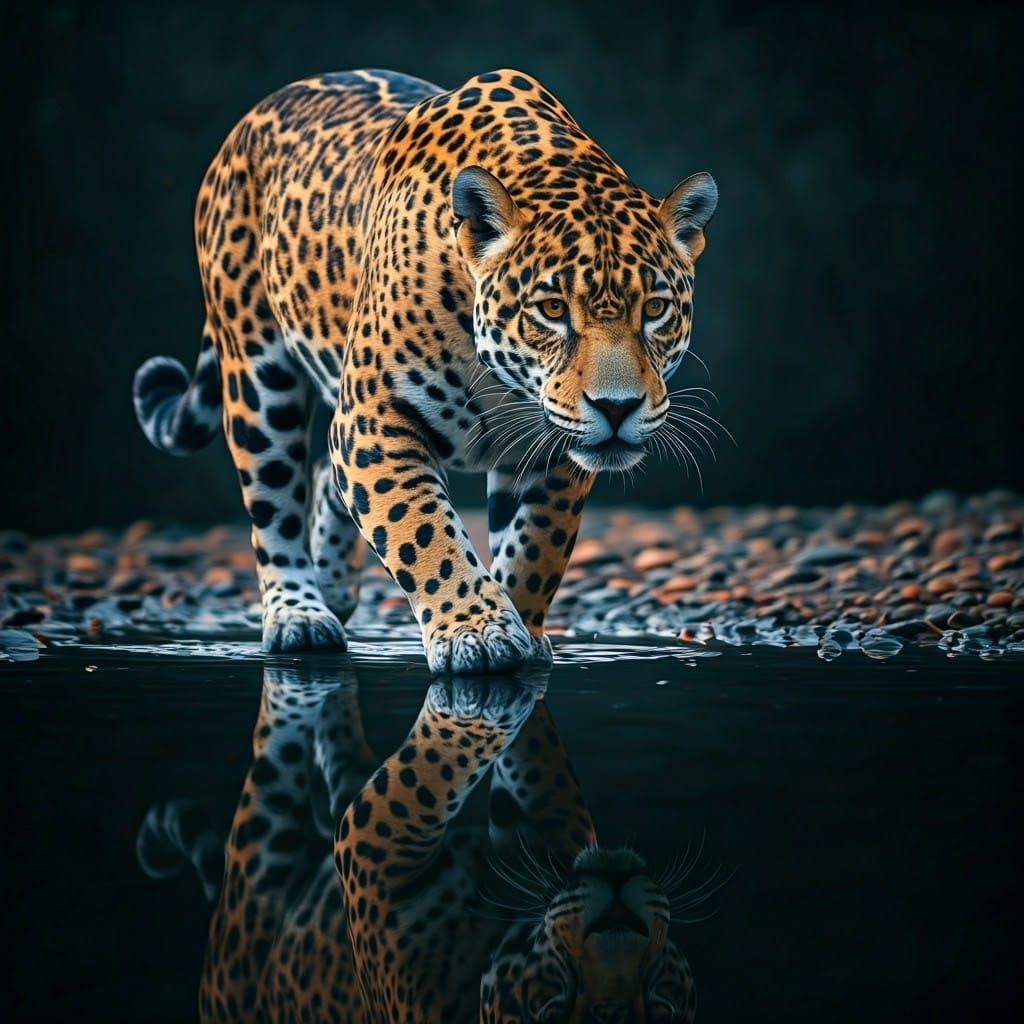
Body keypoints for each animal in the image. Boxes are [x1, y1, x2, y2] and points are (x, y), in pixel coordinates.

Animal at [132, 68, 719, 672]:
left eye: (655, 309)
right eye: (553, 309)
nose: (617, 408)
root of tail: (255, 117)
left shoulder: (552, 453)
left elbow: (537, 545)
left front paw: (520, 626)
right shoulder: (374, 423)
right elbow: (421, 529)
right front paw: (476, 631)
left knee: (325, 477)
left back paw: (335, 585)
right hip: (257, 376)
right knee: (274, 506)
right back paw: (299, 616)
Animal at [138, 662, 700, 1022]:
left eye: (661, 1004)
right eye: (555, 1005)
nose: (618, 905)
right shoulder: (369, 836)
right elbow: (465, 742)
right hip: (262, 840)